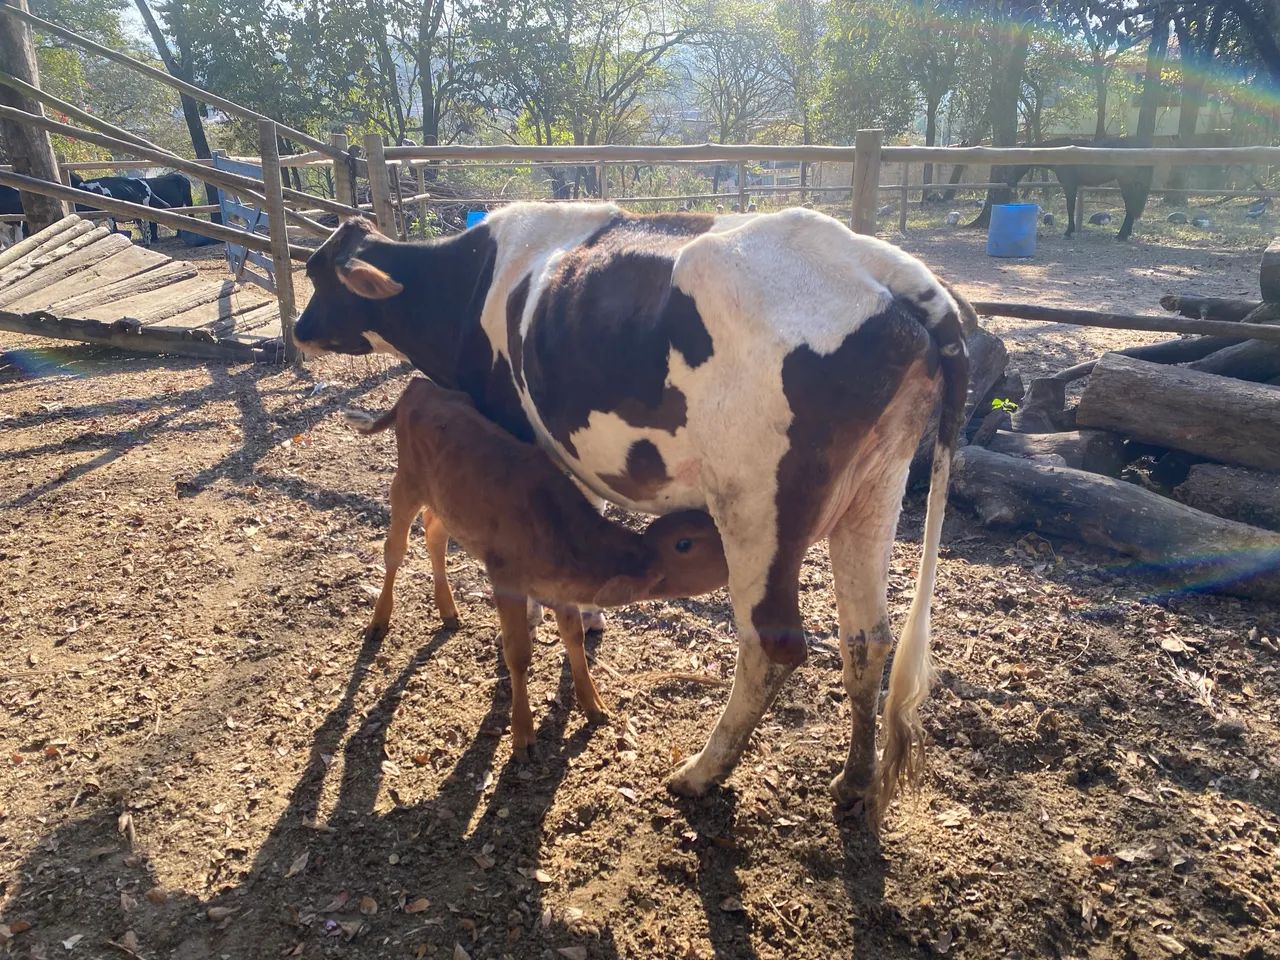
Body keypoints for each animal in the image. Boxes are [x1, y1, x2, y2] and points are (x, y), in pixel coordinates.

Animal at [348, 376, 729, 757]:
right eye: (685, 544)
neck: (560, 530)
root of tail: (418, 386)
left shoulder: (561, 591)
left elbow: (575, 639)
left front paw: (593, 705)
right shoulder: (506, 580)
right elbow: (518, 653)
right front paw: (523, 733)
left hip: (447, 503)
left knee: (434, 533)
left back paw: (448, 610)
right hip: (405, 485)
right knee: (395, 550)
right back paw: (379, 621)